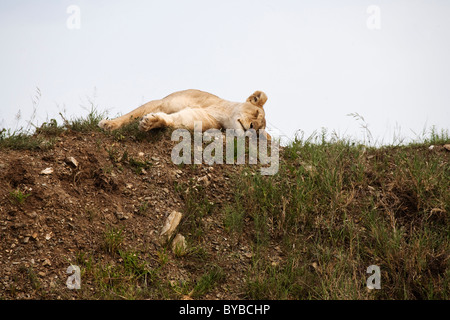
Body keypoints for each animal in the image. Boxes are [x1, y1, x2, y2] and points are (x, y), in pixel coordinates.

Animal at [98, 89, 270, 139]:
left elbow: (173, 120)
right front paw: (109, 124)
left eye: (259, 131)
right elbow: (130, 115)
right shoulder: (161, 102)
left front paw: (152, 122)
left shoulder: (194, 119)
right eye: (256, 113)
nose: (253, 128)